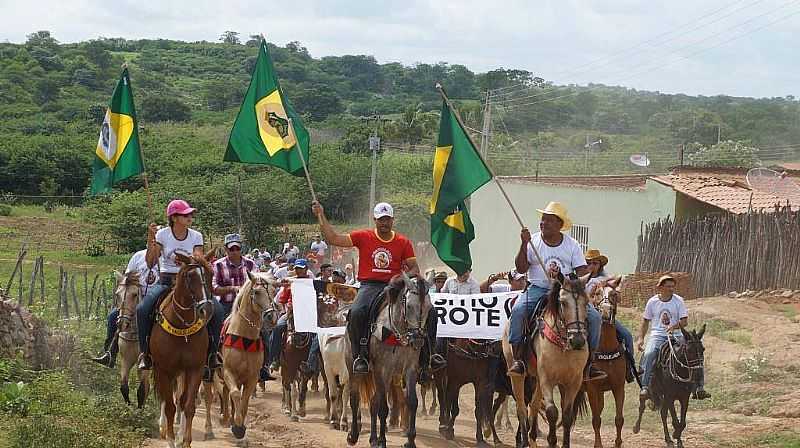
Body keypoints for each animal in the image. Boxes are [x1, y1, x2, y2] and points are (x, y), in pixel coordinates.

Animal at [112, 270, 150, 410]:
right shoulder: (126, 359)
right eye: (117, 294)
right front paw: (129, 407)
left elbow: (142, 390)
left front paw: (139, 411)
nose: (122, 324)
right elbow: (124, 386)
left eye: (134, 294)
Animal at [151, 254, 216, 448]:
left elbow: (187, 405)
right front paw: (171, 440)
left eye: (211, 274)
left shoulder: (195, 369)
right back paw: (163, 427)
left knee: (180, 398)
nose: (206, 309)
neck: (181, 326)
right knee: (166, 399)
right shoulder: (164, 369)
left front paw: (185, 440)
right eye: (189, 276)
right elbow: (170, 406)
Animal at [346, 272, 432, 448]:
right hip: (355, 368)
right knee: (355, 397)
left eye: (429, 308)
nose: (418, 340)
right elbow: (383, 407)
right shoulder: (382, 369)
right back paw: (354, 435)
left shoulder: (410, 368)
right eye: (409, 306)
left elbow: (412, 401)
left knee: (373, 402)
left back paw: (372, 438)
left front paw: (410, 440)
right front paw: (382, 441)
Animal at [504, 272, 592, 448]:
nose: (578, 340)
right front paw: (552, 441)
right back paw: (524, 440)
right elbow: (552, 412)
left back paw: (532, 437)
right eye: (563, 302)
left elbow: (567, 415)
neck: (564, 345)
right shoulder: (547, 379)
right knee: (521, 408)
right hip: (518, 375)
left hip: (537, 379)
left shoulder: (574, 382)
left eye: (586, 302)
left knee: (534, 405)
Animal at [584, 278, 628, 446]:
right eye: (597, 293)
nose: (605, 312)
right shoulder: (592, 389)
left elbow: (619, 419)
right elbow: (596, 419)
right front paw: (598, 444)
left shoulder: (618, 387)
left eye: (614, 294)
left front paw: (618, 443)